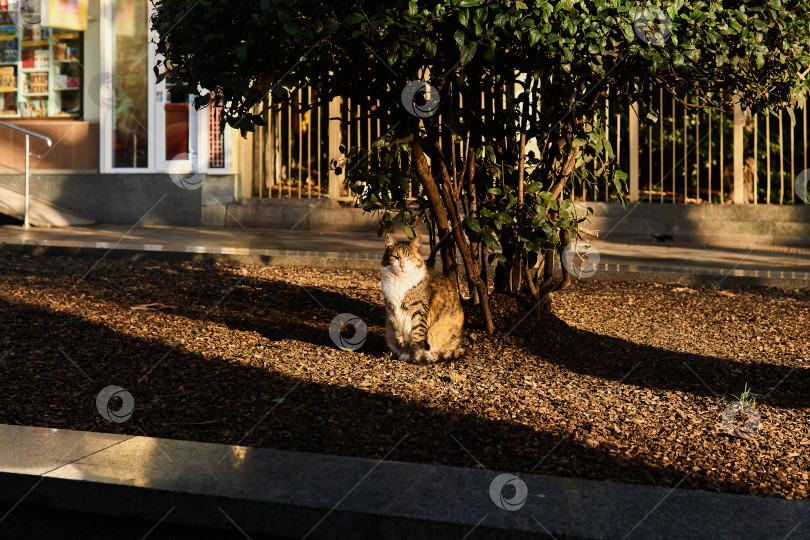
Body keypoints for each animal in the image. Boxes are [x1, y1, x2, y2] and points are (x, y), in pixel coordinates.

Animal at [378, 232, 460, 362]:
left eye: (409, 258)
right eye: (396, 257)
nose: (402, 265)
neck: (399, 281)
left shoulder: (418, 311)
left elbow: (417, 334)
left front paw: (415, 356)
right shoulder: (393, 313)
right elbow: (401, 337)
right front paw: (406, 354)